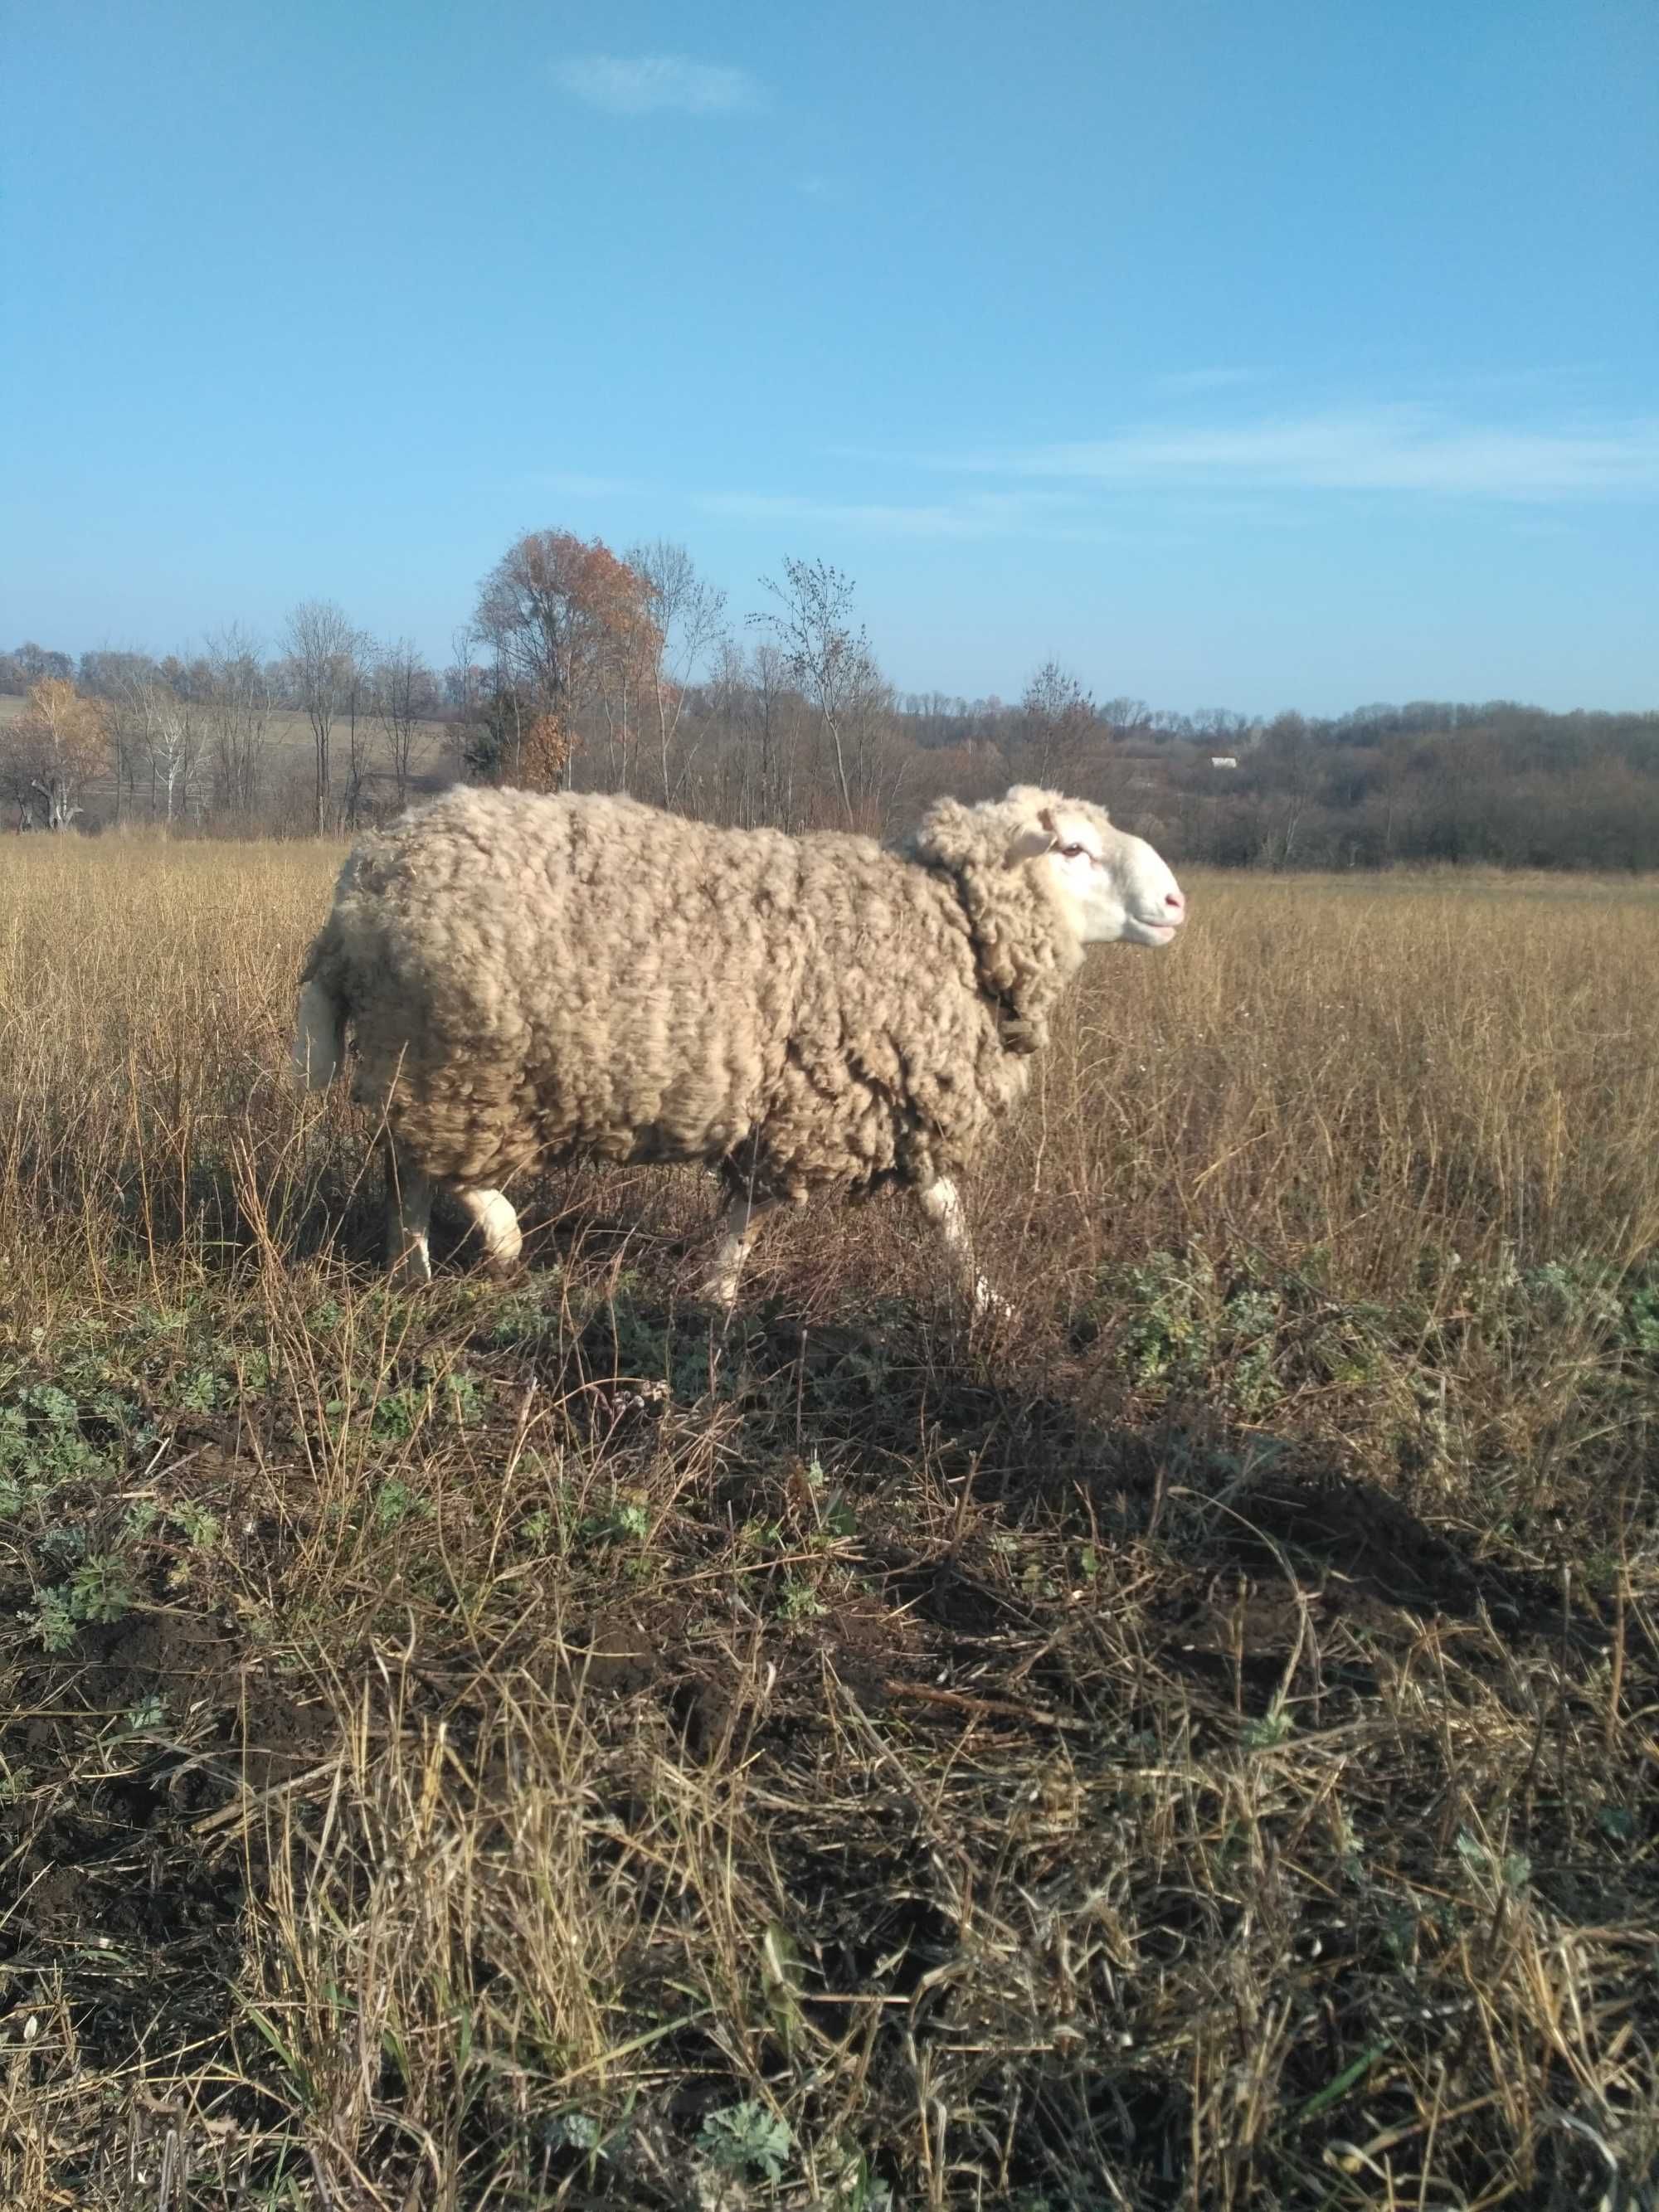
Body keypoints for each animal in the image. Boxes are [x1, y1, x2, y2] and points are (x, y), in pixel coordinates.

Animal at [292, 783, 1185, 1300]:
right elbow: (758, 1215)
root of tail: (361, 881)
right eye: (1071, 848)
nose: (1176, 902)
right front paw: (720, 1298)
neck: (943, 919)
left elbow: (941, 1212)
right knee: (431, 1165)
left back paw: (412, 1270)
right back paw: (493, 1242)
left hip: (423, 1055)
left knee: (406, 1165)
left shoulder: (876, 1096)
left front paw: (983, 1300)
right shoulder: (821, 1100)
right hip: (457, 1058)